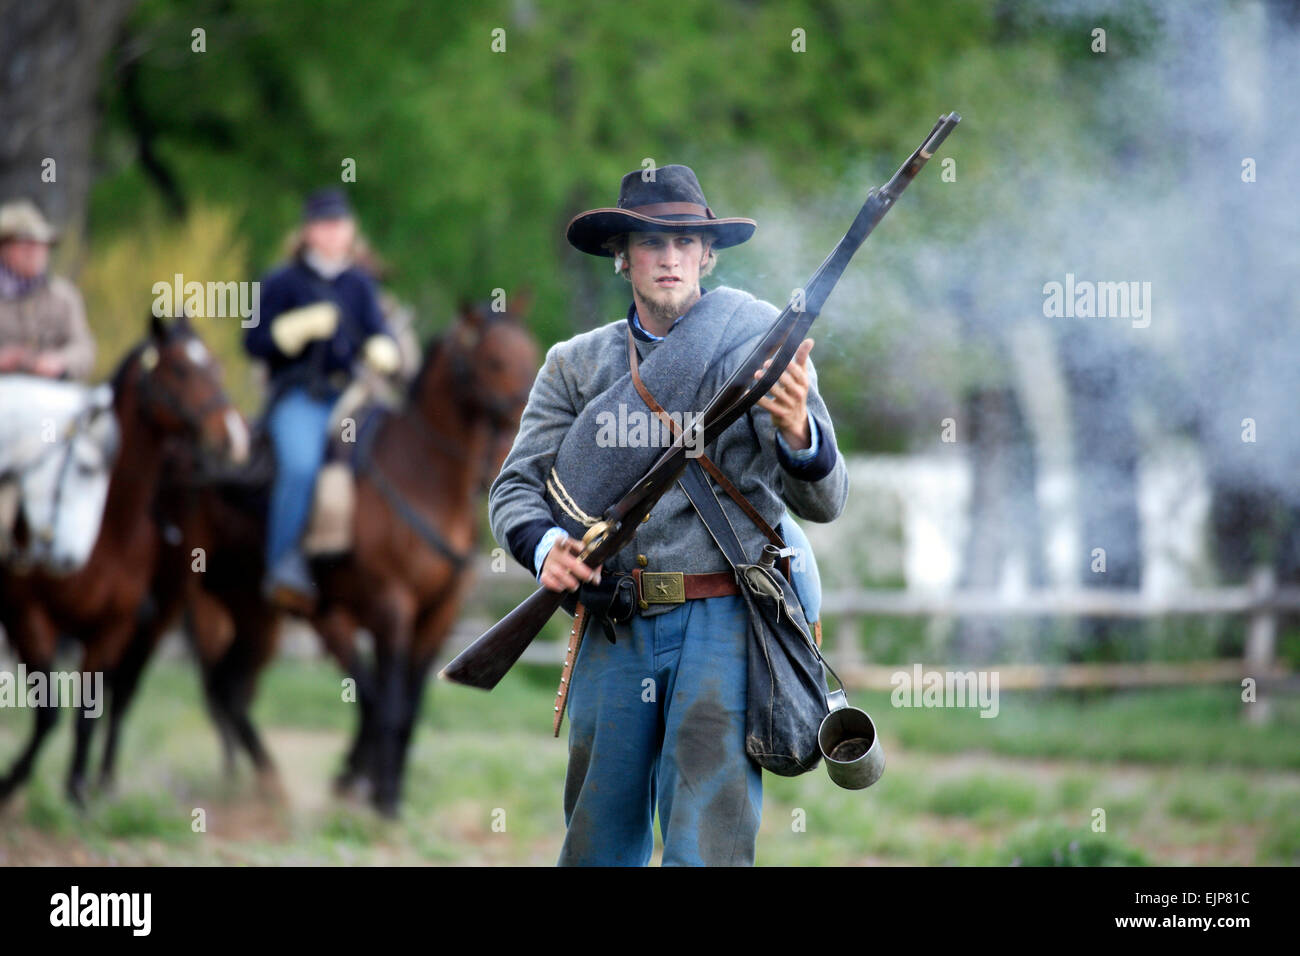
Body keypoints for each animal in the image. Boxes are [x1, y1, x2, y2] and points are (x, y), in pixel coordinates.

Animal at [0, 316, 246, 806]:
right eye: (180, 370)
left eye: (215, 367)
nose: (231, 436)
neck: (108, 527)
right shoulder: (30, 614)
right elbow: (49, 711)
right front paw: (13, 780)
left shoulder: (113, 627)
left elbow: (88, 710)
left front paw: (77, 790)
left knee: (125, 692)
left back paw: (106, 778)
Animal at [124, 299, 540, 816]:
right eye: (495, 361)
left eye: (532, 353)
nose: (523, 425)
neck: (421, 478)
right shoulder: (384, 608)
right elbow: (385, 700)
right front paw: (383, 798)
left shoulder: (438, 615)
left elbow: (407, 704)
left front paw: (373, 786)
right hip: (192, 600)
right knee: (209, 686)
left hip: (254, 613)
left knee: (229, 690)